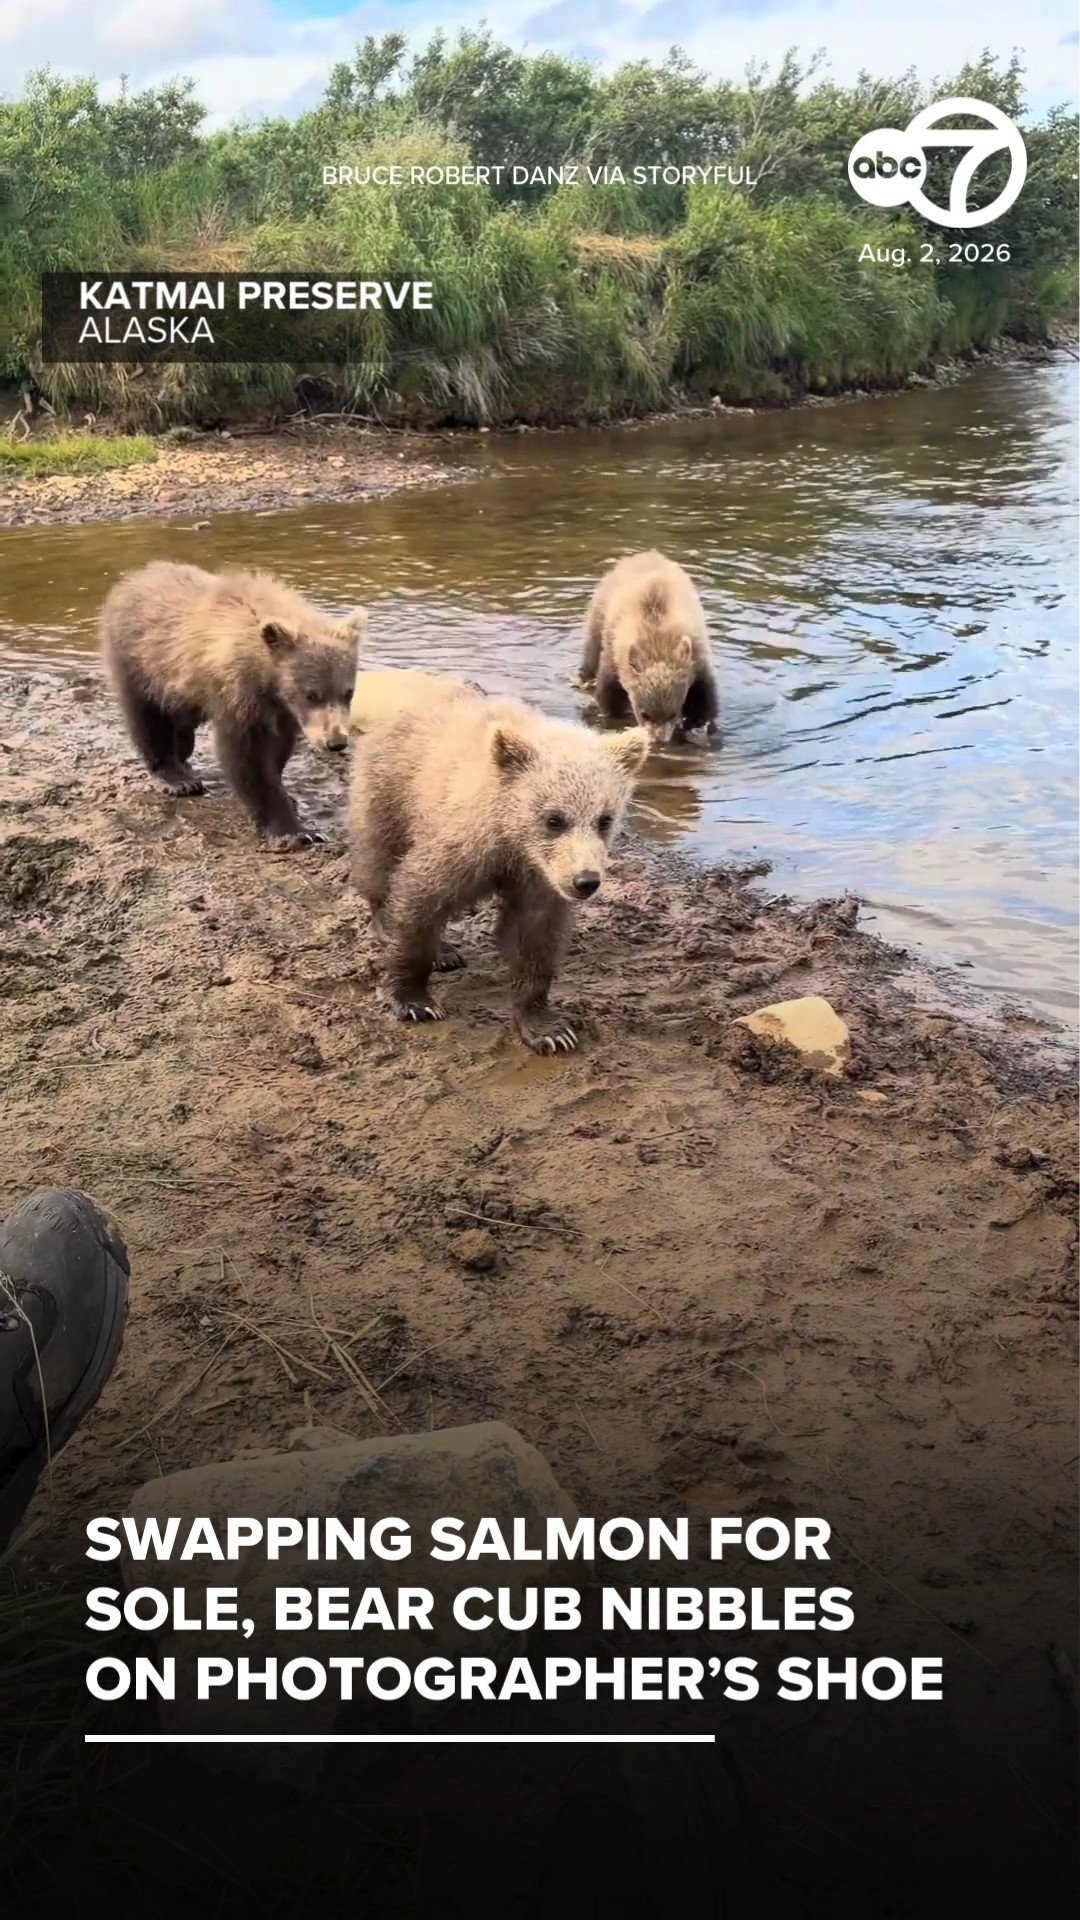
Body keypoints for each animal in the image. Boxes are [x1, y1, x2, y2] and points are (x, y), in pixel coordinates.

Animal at [100, 561, 367, 849]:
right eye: (311, 694)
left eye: (348, 692)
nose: (335, 741)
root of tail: (132, 578)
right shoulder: (237, 696)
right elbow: (245, 756)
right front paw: (292, 831)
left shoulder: (280, 711)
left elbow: (279, 749)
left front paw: (288, 796)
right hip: (141, 661)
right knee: (148, 718)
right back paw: (177, 778)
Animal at [348, 681, 649, 1053]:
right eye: (554, 819)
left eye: (604, 819)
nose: (585, 881)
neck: (512, 842)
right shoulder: (463, 847)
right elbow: (420, 896)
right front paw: (414, 1001)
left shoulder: (537, 877)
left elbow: (534, 938)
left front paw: (549, 1028)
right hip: (389, 788)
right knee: (378, 855)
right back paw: (391, 925)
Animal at [581, 550, 718, 745]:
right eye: (644, 713)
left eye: (672, 714)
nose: (659, 740)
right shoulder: (613, 652)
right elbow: (609, 693)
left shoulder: (696, 656)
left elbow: (704, 697)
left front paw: (698, 727)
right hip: (598, 617)